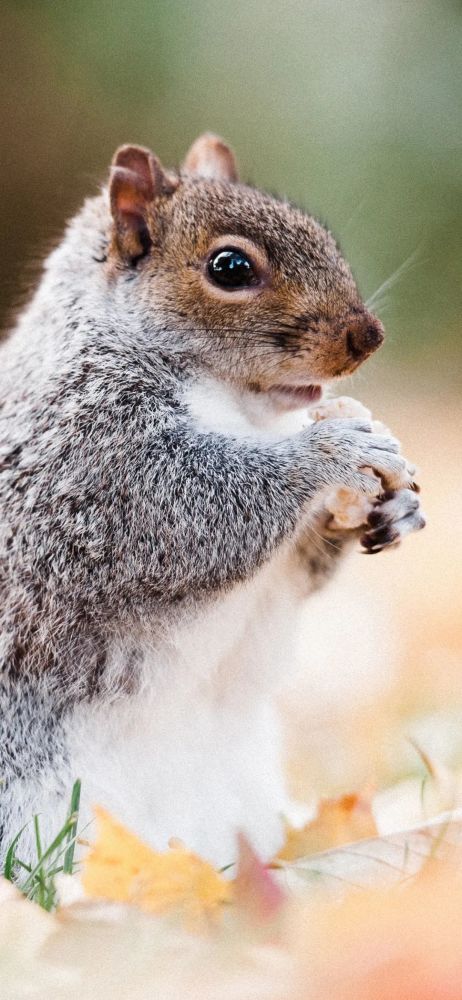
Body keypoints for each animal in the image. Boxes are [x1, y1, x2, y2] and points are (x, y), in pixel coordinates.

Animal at [0, 135, 424, 868]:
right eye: (229, 267)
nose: (368, 337)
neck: (238, 408)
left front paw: (394, 506)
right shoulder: (94, 463)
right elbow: (194, 513)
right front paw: (331, 448)